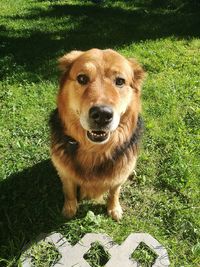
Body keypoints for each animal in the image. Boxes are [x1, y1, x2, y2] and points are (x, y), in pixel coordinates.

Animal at [49, 48, 145, 222]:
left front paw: (114, 209)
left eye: (120, 81)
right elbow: (69, 191)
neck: (94, 150)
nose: (102, 114)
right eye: (82, 78)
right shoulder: (65, 173)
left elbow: (114, 192)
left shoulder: (118, 176)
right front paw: (69, 209)